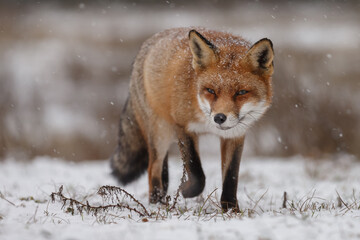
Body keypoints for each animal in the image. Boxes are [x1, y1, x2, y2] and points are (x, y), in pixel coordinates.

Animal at [111, 27, 274, 212]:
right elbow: (196, 171)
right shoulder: (183, 127)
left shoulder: (235, 135)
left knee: (162, 170)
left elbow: (231, 176)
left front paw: (230, 208)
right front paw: (187, 191)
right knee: (153, 168)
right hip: (160, 132)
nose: (219, 118)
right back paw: (156, 203)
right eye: (211, 91)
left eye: (241, 92)